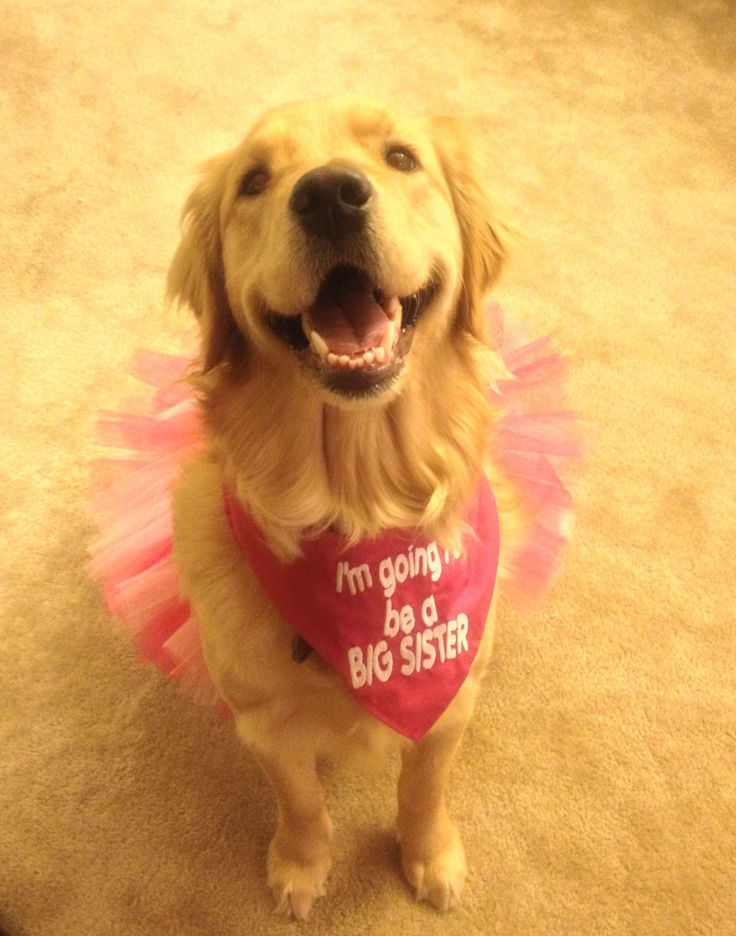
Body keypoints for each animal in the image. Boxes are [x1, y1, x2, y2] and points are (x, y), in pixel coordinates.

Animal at [167, 97, 516, 920]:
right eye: (254, 181)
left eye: (401, 157)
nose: (329, 194)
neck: (361, 511)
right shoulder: (265, 721)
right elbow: (300, 803)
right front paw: (300, 867)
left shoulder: (451, 699)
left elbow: (424, 790)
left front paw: (430, 855)